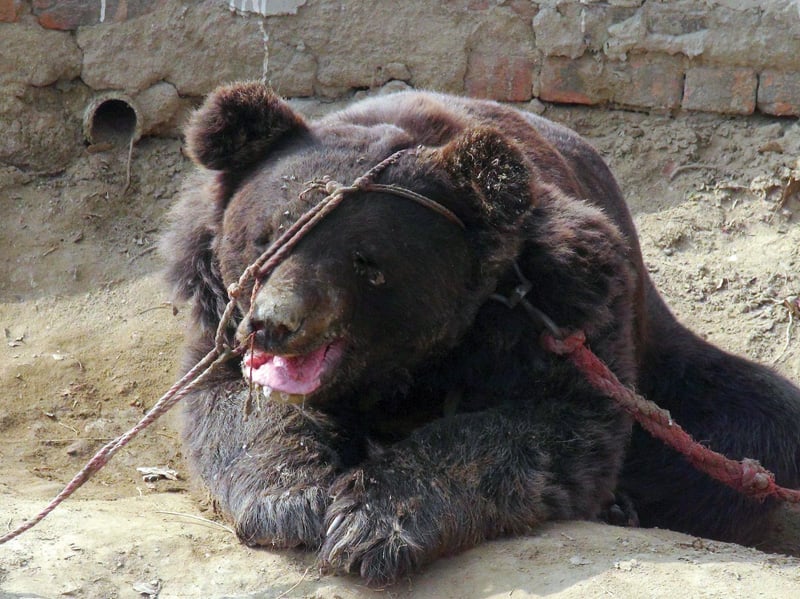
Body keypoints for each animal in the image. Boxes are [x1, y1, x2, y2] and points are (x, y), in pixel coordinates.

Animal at [162, 82, 800, 584]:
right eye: (270, 234)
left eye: (367, 262)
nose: (274, 326)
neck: (403, 368)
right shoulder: (215, 305)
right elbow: (232, 403)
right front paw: (296, 499)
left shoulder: (559, 304)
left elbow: (547, 423)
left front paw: (371, 523)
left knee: (751, 428)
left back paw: (628, 507)